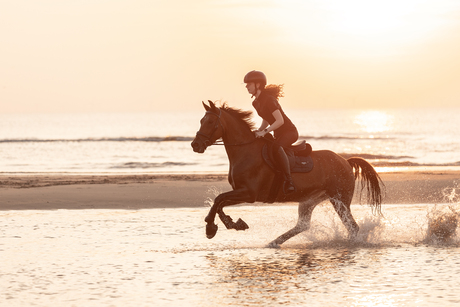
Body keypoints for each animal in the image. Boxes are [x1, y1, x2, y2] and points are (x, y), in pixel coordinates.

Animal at [190, 101, 384, 248]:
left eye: (210, 122)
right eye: (201, 120)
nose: (195, 145)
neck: (245, 151)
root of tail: (345, 161)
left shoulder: (249, 194)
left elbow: (218, 199)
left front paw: (211, 227)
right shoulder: (241, 192)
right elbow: (220, 202)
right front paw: (231, 224)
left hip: (339, 199)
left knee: (352, 226)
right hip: (310, 200)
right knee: (303, 225)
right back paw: (274, 242)